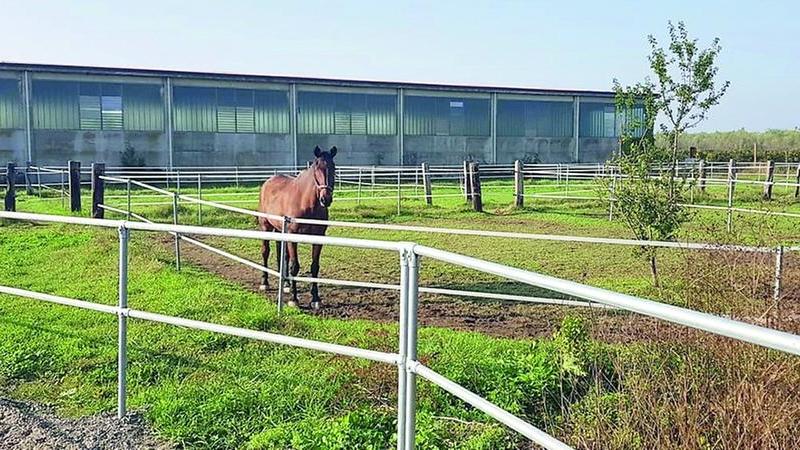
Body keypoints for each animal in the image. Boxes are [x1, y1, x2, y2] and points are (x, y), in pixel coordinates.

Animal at [257, 145, 337, 310]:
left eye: (333, 167)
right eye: (316, 168)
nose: (325, 199)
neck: (306, 203)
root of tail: (268, 182)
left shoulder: (318, 237)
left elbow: (314, 266)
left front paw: (315, 298)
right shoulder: (293, 236)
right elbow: (295, 266)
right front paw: (294, 300)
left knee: (282, 256)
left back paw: (286, 284)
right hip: (265, 227)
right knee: (265, 252)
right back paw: (265, 282)